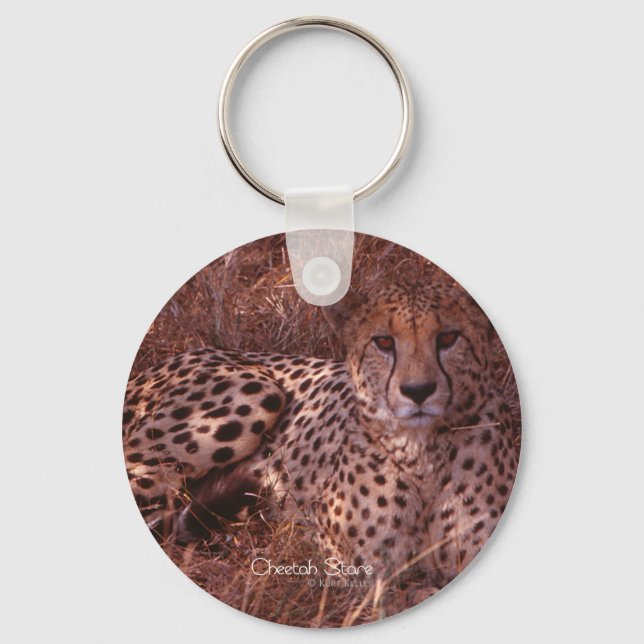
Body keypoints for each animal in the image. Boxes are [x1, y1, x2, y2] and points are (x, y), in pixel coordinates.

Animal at [123, 280, 520, 589]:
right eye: (383, 342)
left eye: (448, 338)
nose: (418, 391)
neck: (423, 453)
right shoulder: (352, 569)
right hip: (255, 393)